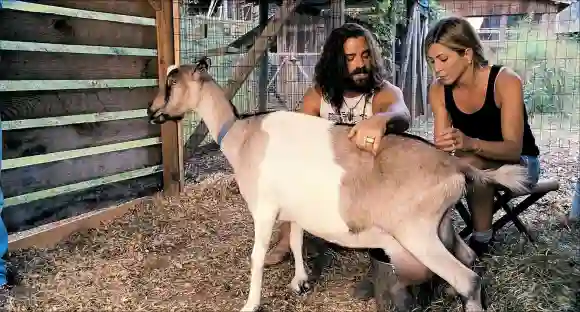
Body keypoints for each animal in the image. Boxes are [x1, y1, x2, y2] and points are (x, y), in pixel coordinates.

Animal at [148, 58, 532, 312]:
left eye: (172, 82)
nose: (152, 113)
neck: (242, 135)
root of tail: (454, 164)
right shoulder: (295, 207)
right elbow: (297, 240)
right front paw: (300, 282)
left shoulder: (264, 207)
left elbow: (256, 256)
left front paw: (250, 304)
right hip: (441, 226)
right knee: (467, 256)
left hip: (416, 234)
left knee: (467, 277)